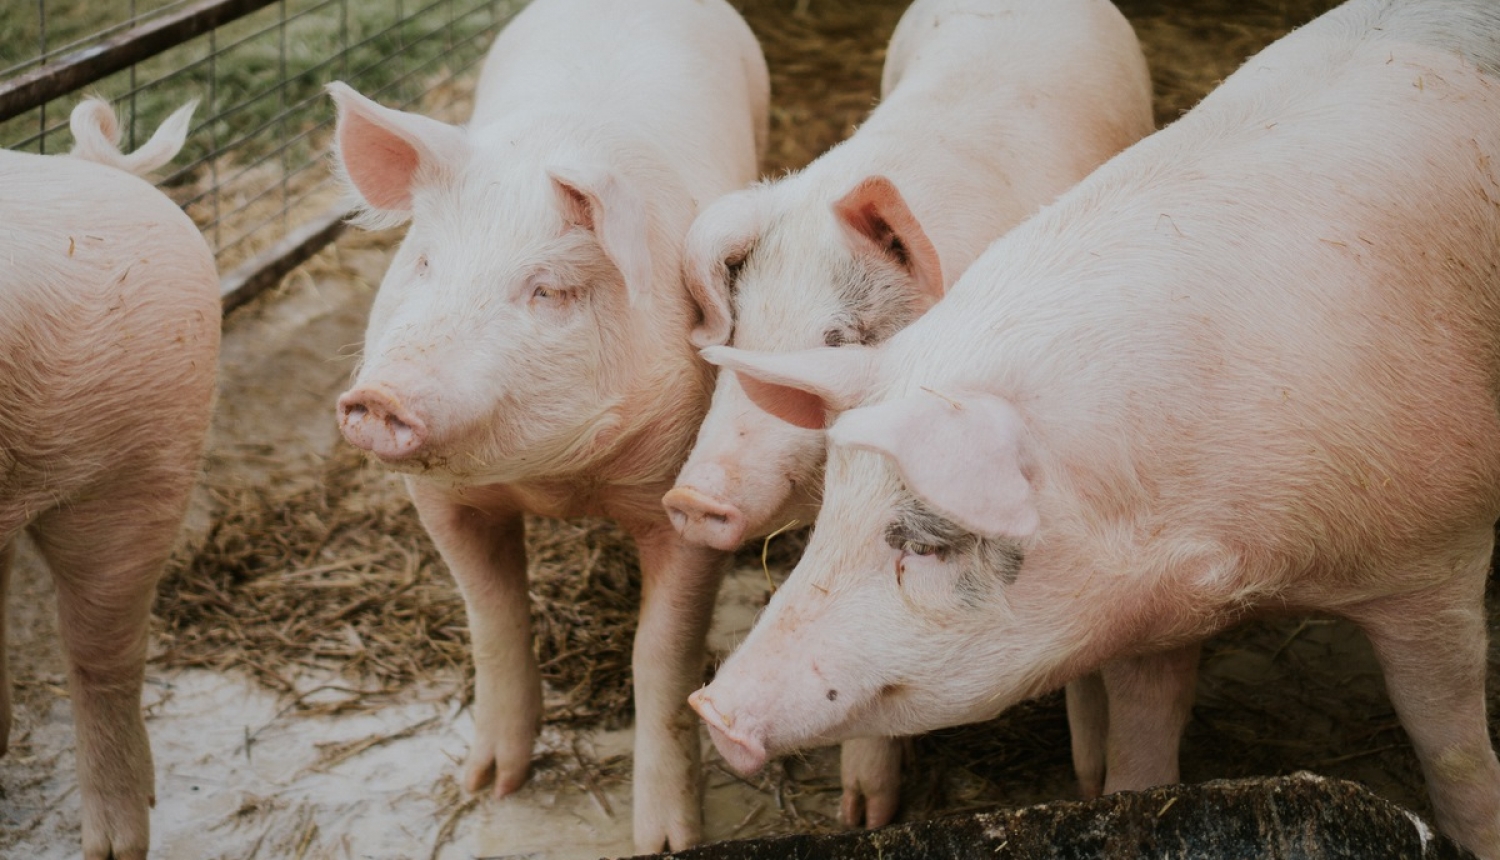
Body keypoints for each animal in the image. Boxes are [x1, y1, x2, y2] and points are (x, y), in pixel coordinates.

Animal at [333, 0, 768, 846]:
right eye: (424, 263)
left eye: (549, 290)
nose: (382, 397)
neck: (555, 483)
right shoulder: (440, 502)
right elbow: (492, 618)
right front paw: (487, 787)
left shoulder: (688, 499)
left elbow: (661, 655)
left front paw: (665, 841)